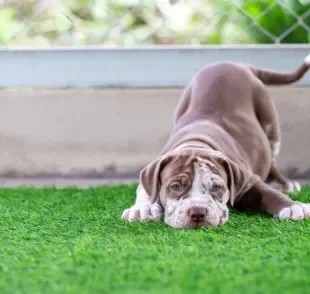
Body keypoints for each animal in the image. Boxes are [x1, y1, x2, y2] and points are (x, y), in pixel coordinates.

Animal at [121, 55, 310, 230]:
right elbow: (145, 191)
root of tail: (237, 64)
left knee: (272, 160)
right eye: (175, 187)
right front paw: (142, 209)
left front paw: (293, 206)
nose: (197, 212)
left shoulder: (249, 181)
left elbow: (268, 194)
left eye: (217, 187)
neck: (196, 143)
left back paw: (285, 184)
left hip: (270, 124)